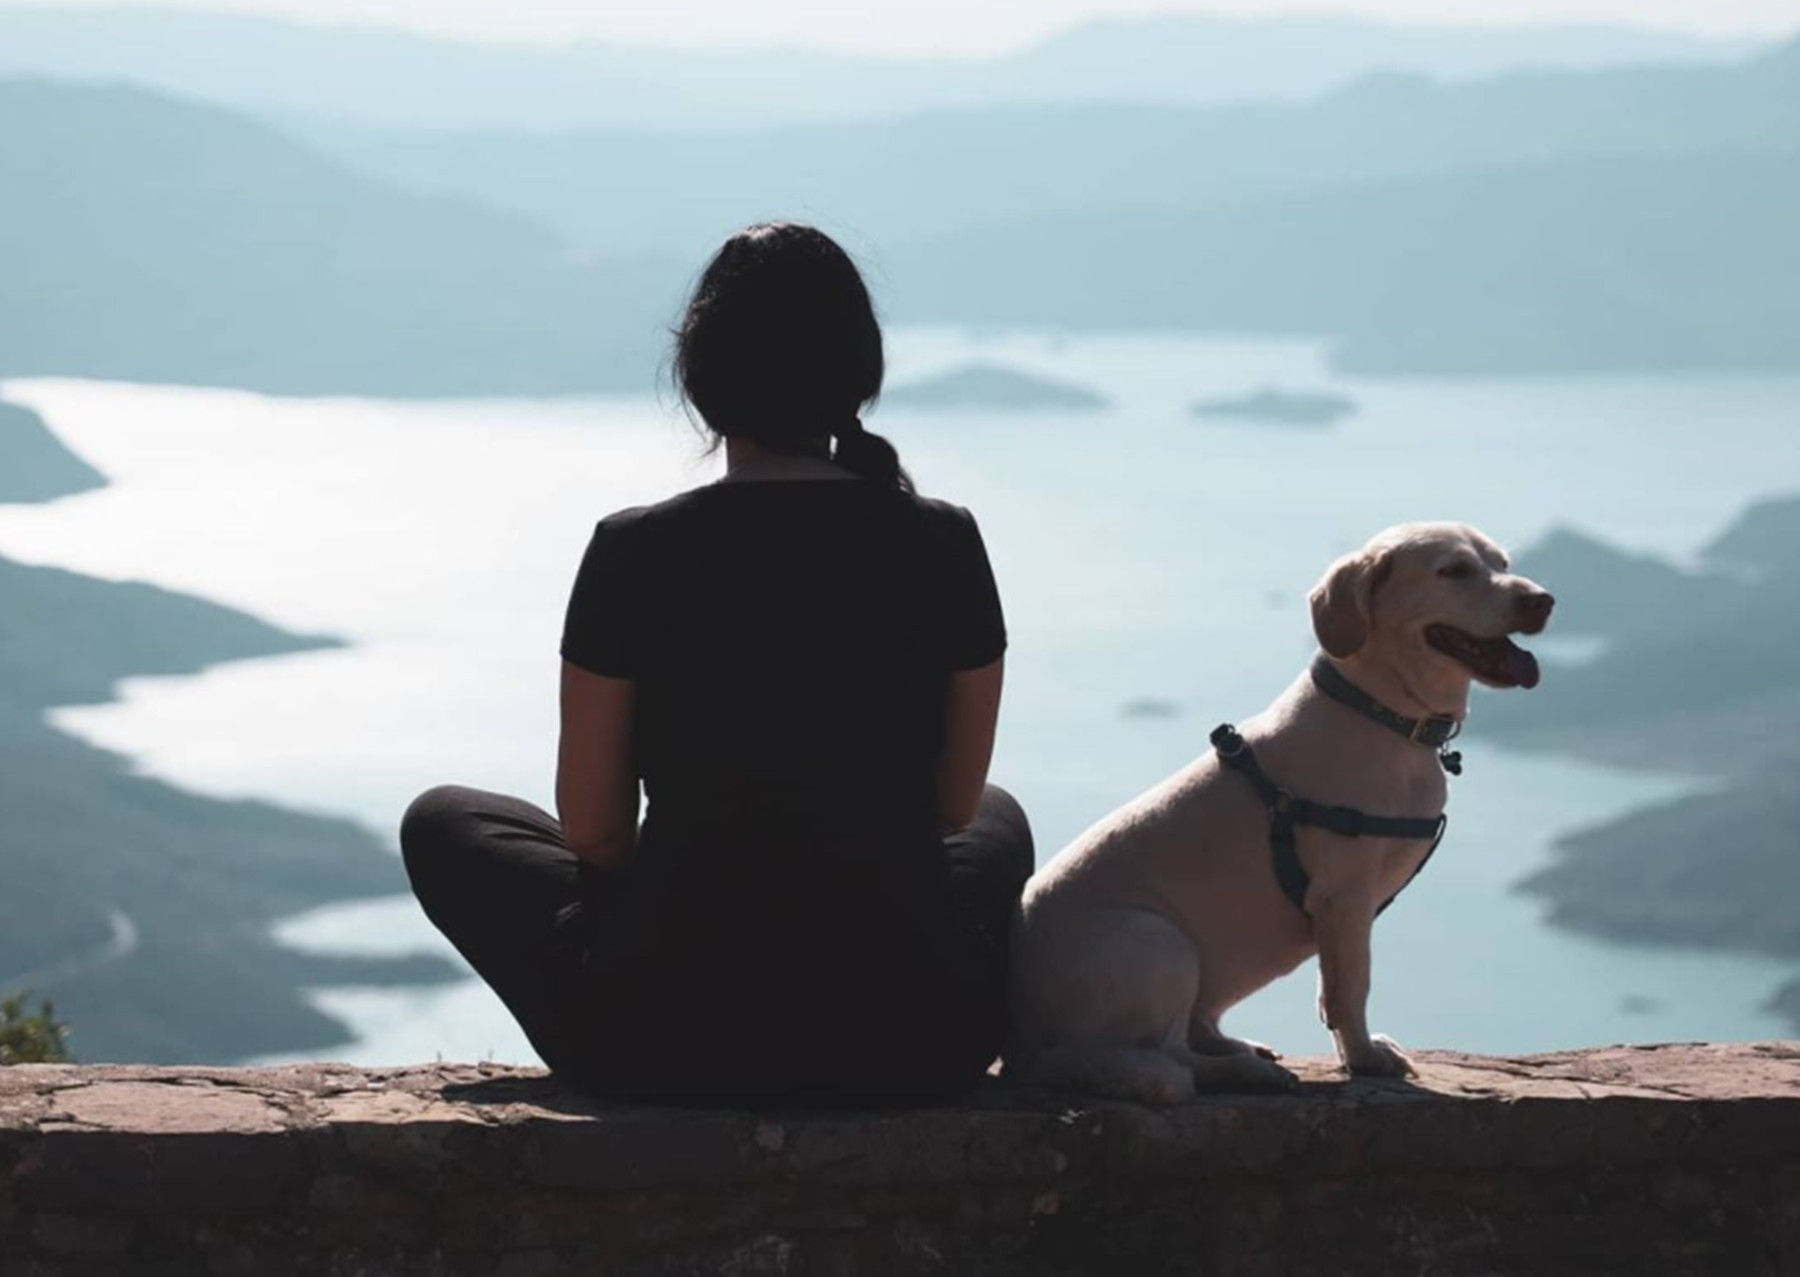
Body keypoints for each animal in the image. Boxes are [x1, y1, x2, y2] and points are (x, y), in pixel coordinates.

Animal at [1008, 522, 1555, 1102]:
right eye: (1453, 570)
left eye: (1502, 563)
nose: (1542, 600)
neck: (1378, 710)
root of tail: (1023, 1047)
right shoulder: (1344, 897)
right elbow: (1350, 989)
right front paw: (1364, 1058)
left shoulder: (1344, 913)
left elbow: (1331, 990)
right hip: (1158, 945)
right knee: (1171, 1059)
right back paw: (1241, 1070)